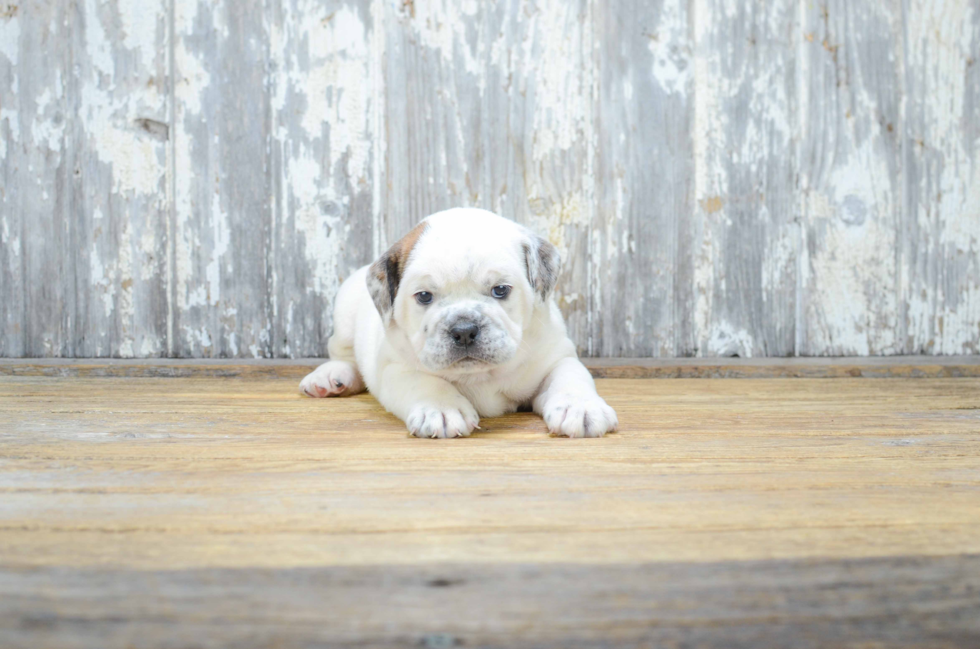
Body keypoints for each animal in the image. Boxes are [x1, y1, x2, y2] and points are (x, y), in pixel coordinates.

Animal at [300, 209, 620, 440]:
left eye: (500, 290)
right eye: (424, 296)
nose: (464, 330)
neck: (480, 376)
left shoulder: (555, 357)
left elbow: (570, 376)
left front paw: (579, 408)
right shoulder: (396, 368)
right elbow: (425, 382)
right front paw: (440, 409)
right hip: (344, 314)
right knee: (342, 353)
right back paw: (331, 377)